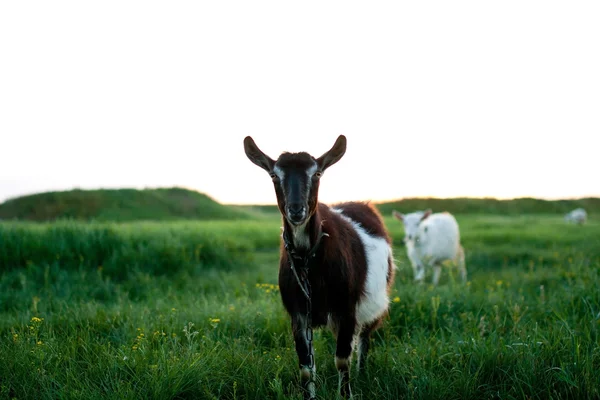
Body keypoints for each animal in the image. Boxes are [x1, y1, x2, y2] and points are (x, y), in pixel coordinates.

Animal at [241, 136, 396, 398]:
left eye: (317, 174)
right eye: (273, 175)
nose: (296, 210)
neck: (307, 259)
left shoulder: (347, 308)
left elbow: (342, 360)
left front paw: (346, 394)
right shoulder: (299, 313)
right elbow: (306, 367)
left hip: (372, 303)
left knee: (364, 338)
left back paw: (362, 374)